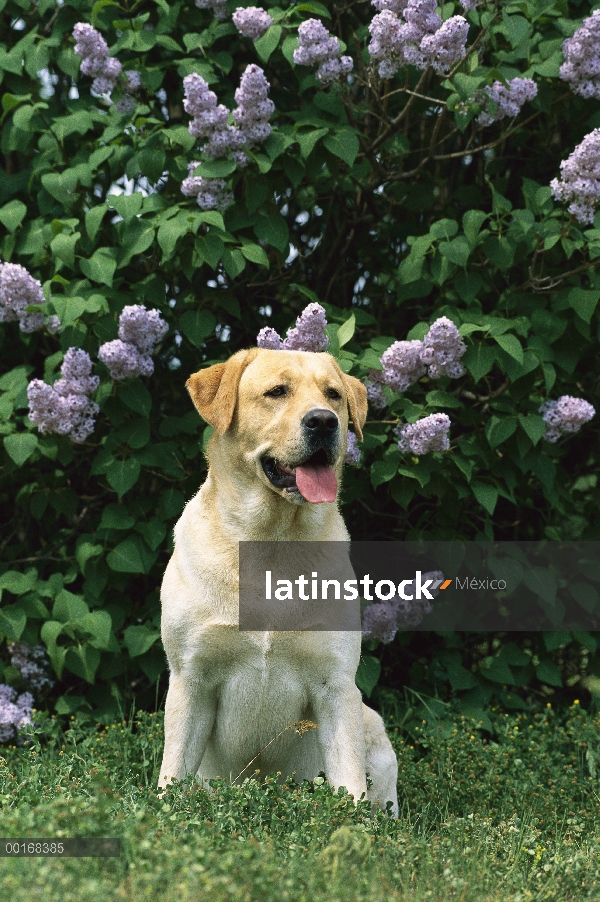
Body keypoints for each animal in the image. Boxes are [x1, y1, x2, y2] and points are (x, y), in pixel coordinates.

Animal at [159, 350, 398, 816]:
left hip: (374, 730)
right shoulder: (190, 678)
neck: (272, 543)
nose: (324, 421)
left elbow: (348, 779)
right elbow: (172, 771)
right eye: (276, 391)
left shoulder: (335, 684)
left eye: (333, 394)